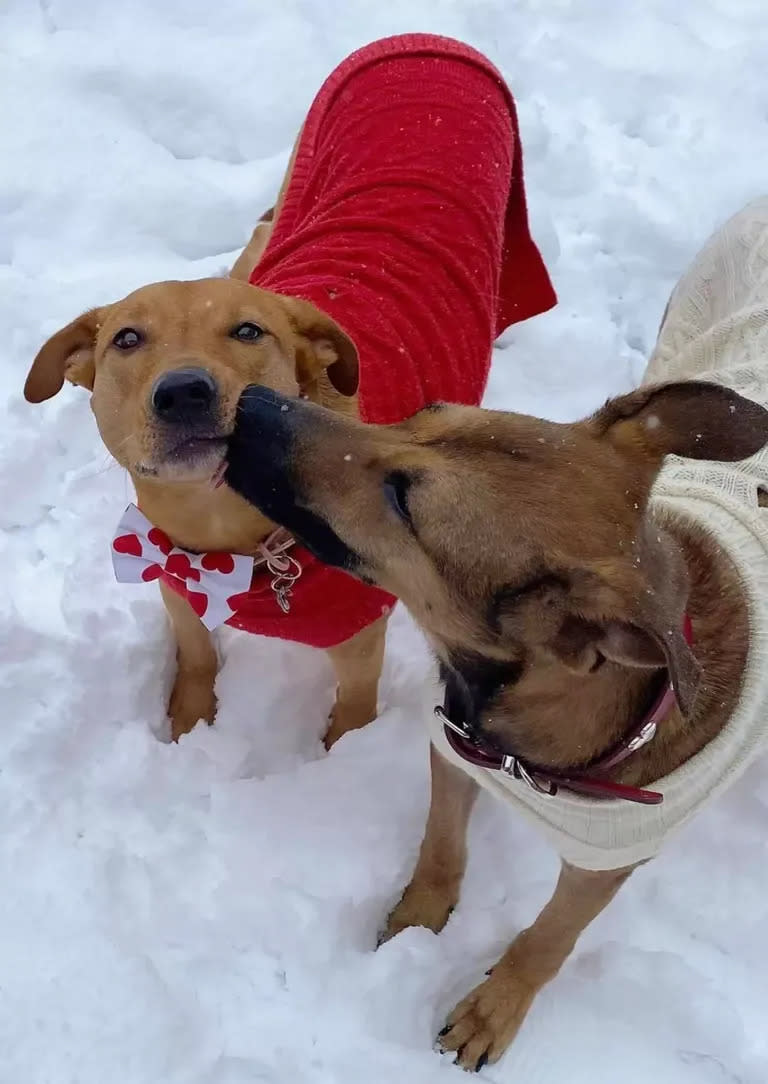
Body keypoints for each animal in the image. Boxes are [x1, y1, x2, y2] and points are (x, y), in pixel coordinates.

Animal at [222, 203, 768, 1066]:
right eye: (424, 414)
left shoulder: (607, 859)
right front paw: (419, 918)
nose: (247, 405)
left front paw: (493, 1008)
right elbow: (440, 846)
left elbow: (548, 939)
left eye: (403, 499)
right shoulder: (453, 751)